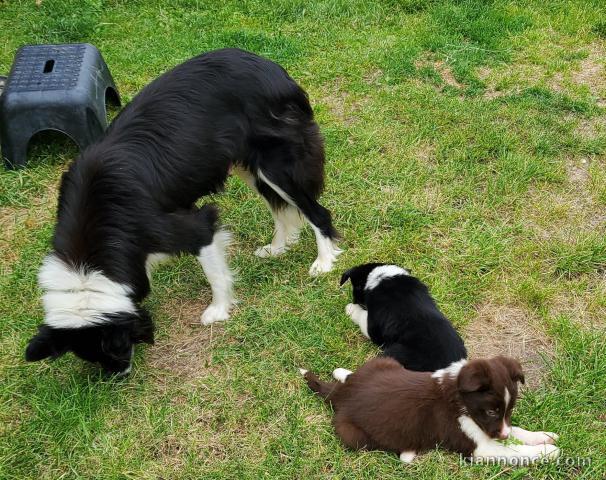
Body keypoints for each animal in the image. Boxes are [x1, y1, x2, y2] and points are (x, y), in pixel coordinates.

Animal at [26, 47, 342, 376]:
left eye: (116, 345)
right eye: (92, 356)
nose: (120, 375)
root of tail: (272, 67)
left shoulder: (194, 227)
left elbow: (215, 273)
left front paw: (217, 311)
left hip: (277, 166)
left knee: (318, 212)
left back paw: (323, 261)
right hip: (250, 166)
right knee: (280, 210)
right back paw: (277, 247)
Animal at [302, 356, 560, 464]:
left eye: (509, 409)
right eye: (491, 412)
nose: (502, 435)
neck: (459, 399)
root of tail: (341, 395)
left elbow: (517, 431)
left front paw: (542, 436)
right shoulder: (478, 446)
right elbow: (514, 451)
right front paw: (548, 452)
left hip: (386, 361)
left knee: (351, 374)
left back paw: (341, 372)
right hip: (354, 437)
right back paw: (407, 452)